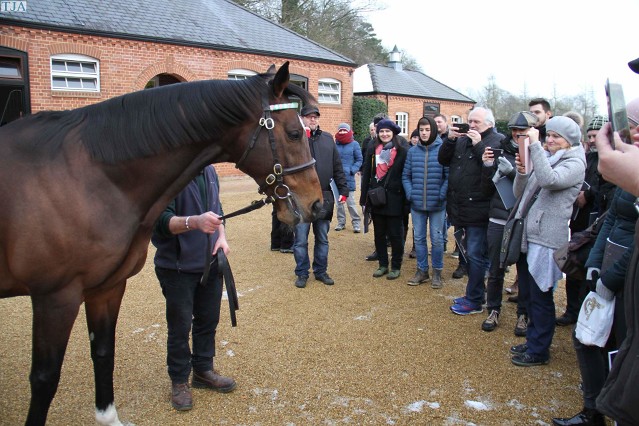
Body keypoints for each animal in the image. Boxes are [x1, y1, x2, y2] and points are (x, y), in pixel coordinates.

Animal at [0, 61, 322, 424]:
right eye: (294, 133)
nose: (317, 204)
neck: (91, 178)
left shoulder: (106, 288)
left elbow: (103, 352)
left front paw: (108, 417)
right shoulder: (54, 297)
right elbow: (45, 378)